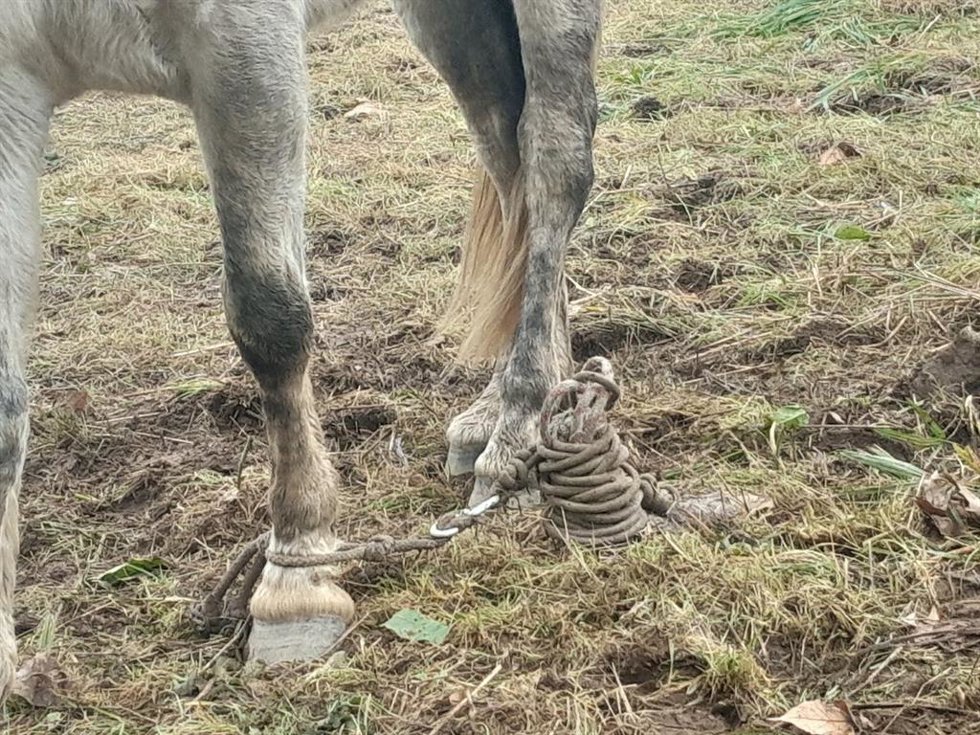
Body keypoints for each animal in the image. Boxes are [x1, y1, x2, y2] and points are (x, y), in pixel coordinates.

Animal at [0, 0, 601, 696]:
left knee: (554, 161)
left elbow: (270, 318)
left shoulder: (243, 42)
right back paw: (503, 408)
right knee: (510, 162)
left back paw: (519, 430)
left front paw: (298, 573)